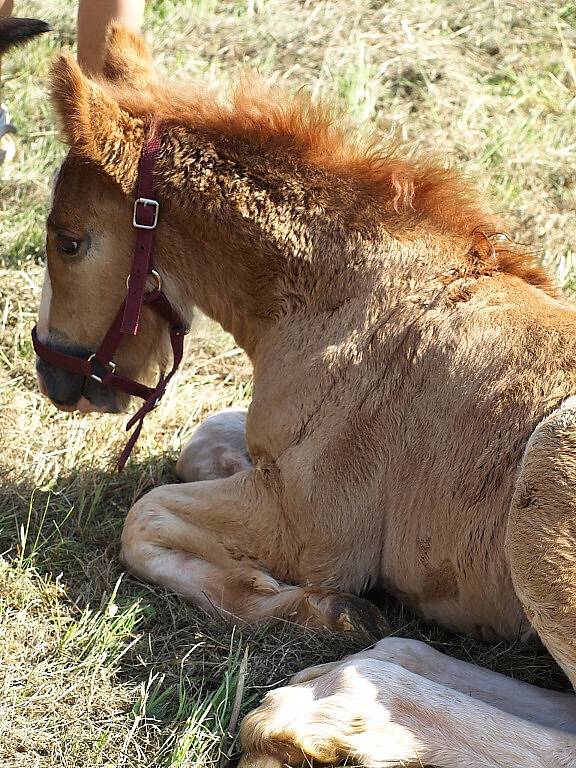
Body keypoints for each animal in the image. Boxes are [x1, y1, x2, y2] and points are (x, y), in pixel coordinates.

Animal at [35, 25, 576, 768]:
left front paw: (290, 604)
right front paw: (326, 612)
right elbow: (203, 441)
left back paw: (323, 711)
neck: (340, 297)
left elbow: (144, 517)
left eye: (69, 242)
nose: (55, 378)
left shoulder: (315, 530)